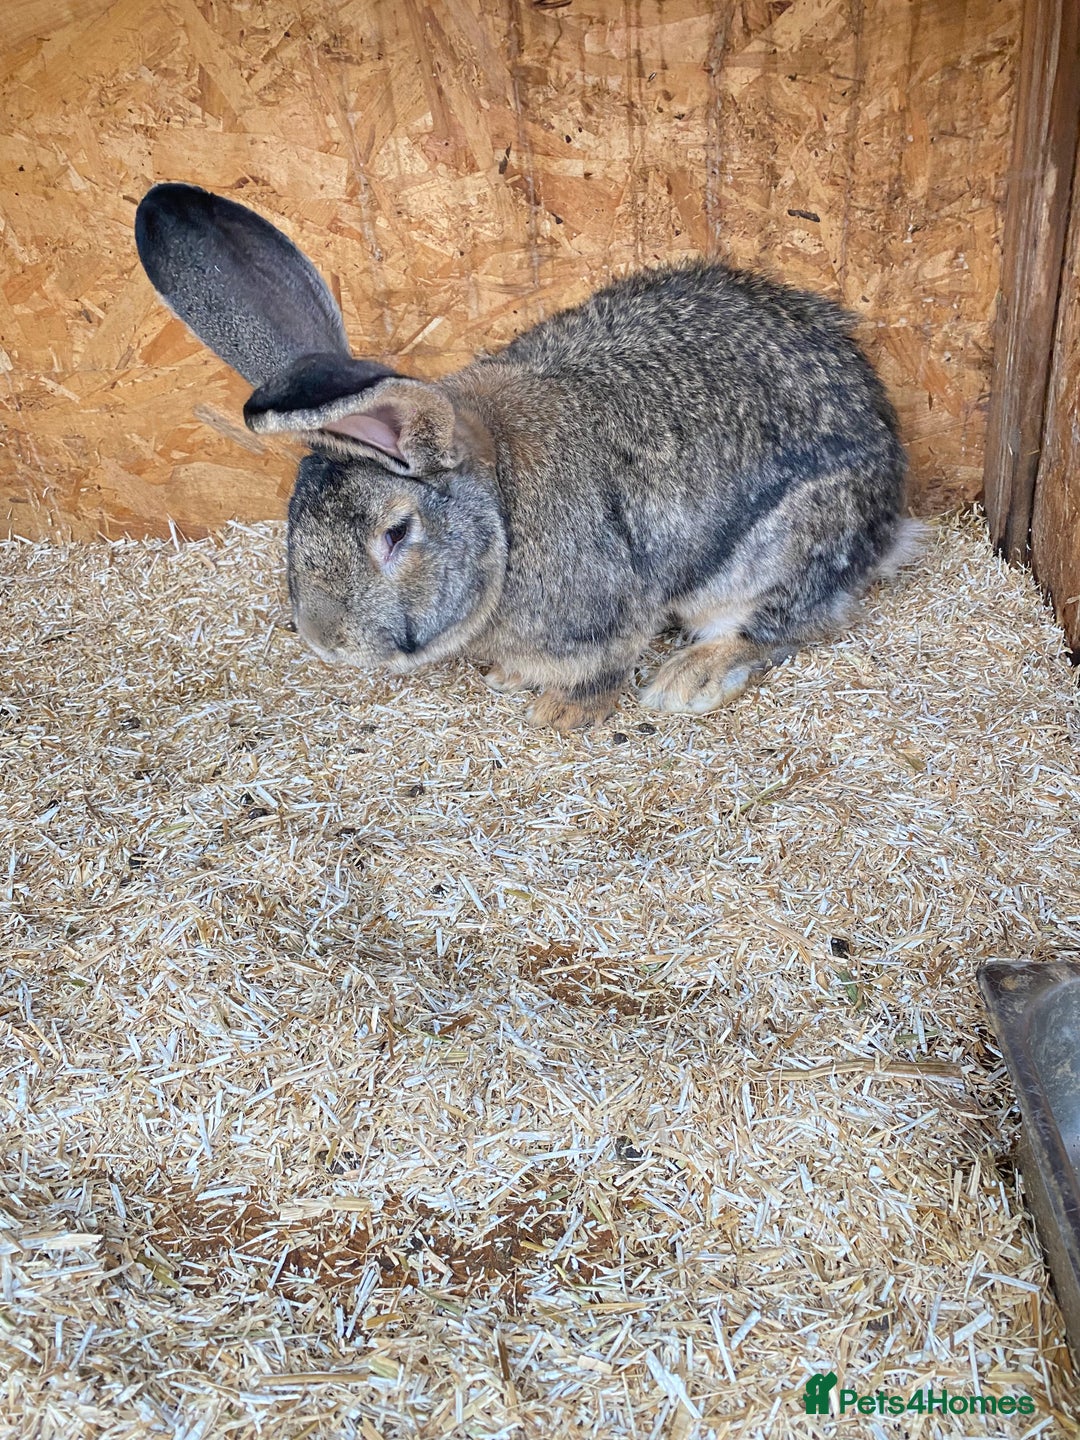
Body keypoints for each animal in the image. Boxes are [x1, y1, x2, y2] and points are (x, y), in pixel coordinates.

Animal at [134, 182, 921, 732]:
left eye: (396, 534)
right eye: (295, 519)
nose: (327, 643)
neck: (503, 510)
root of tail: (890, 508)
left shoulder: (604, 616)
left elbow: (601, 668)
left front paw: (559, 713)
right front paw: (511, 680)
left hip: (786, 545)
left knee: (776, 624)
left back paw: (687, 679)